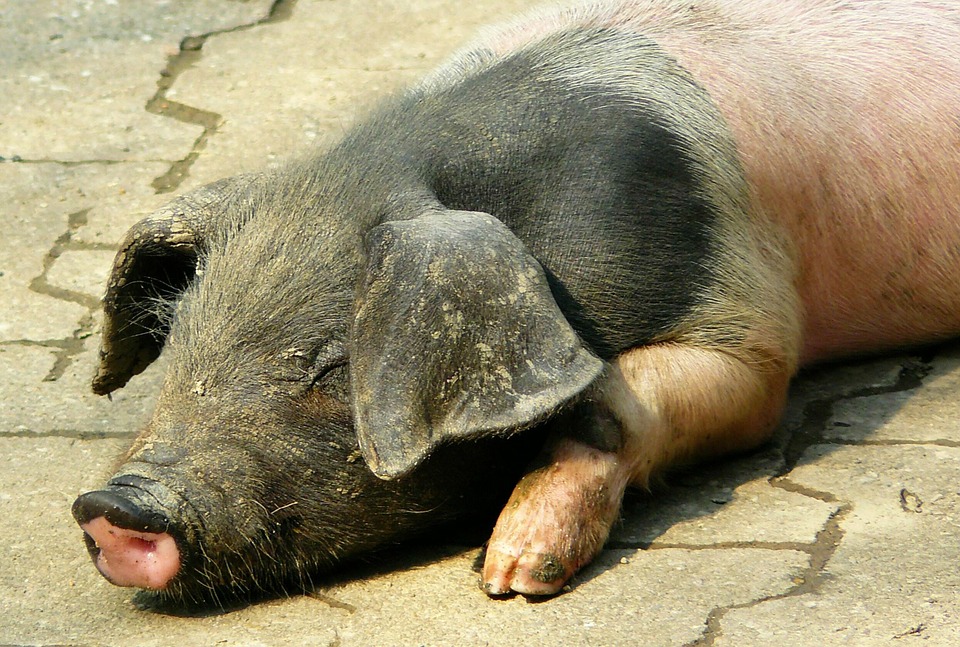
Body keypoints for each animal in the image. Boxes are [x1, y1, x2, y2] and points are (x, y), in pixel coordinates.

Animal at [73, 0, 960, 606]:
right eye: (182, 344)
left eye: (330, 365)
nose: (114, 502)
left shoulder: (748, 319)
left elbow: (622, 399)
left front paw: (510, 577)